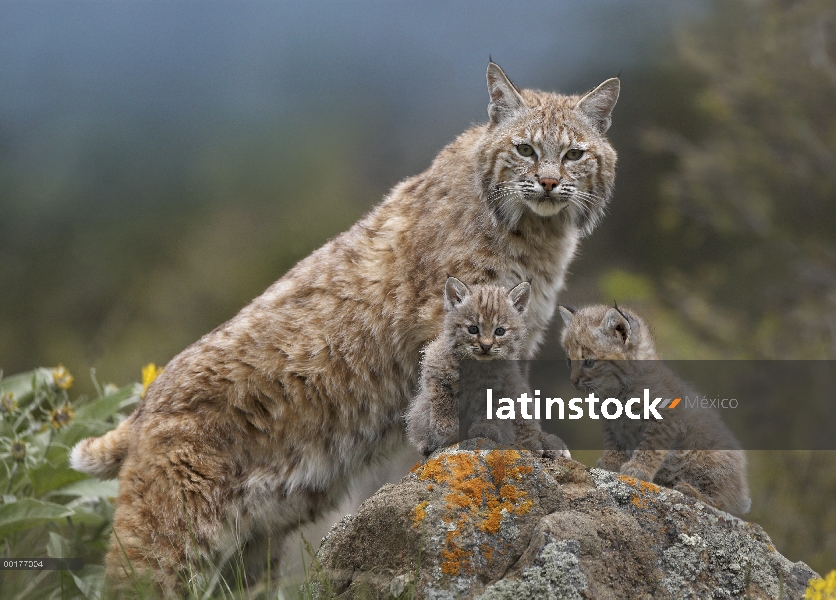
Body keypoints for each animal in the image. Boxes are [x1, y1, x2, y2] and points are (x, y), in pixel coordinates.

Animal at [408, 278, 572, 460]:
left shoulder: (501, 387)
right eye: (473, 329)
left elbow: (490, 411)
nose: (486, 346)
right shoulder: (433, 365)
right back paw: (427, 444)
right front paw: (445, 425)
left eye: (500, 331)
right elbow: (441, 395)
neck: (477, 364)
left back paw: (538, 444)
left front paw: (484, 429)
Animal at [560, 304, 752, 516]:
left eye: (589, 362)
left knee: (724, 502)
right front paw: (612, 461)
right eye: (569, 362)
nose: (572, 381)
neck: (617, 391)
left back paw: (691, 491)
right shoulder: (610, 421)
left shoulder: (667, 419)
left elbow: (651, 445)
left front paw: (638, 468)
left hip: (710, 455)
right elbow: (613, 441)